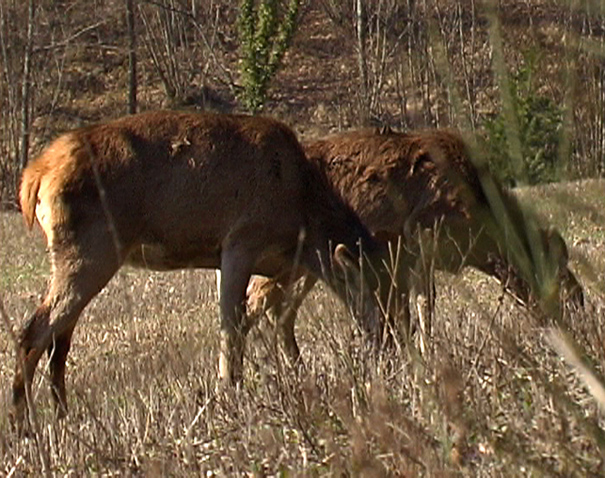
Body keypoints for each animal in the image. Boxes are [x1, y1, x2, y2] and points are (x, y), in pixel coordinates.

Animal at [14, 109, 394, 426]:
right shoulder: (241, 238)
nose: (391, 345)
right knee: (33, 333)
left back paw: (61, 416)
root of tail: (34, 176)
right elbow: (232, 326)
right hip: (91, 250)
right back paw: (25, 425)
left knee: (59, 341)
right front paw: (229, 393)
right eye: (379, 294)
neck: (303, 215)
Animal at [248, 127, 584, 358]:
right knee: (257, 302)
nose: (577, 324)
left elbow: (414, 310)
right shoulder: (417, 242)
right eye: (566, 289)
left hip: (306, 265)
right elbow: (424, 307)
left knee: (280, 312)